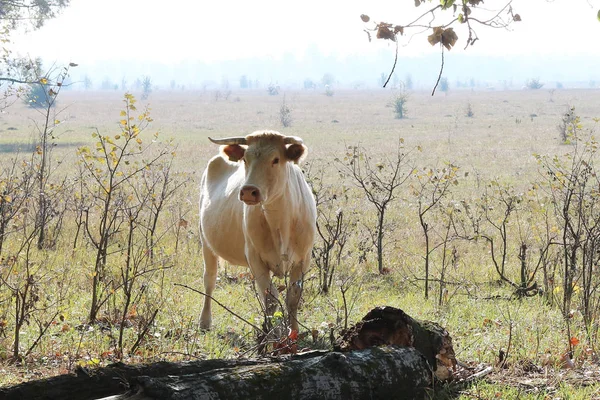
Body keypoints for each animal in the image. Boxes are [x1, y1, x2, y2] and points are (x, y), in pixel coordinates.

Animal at [198, 130, 318, 332]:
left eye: (276, 159)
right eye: (245, 159)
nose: (248, 191)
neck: (280, 222)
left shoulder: (303, 259)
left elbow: (293, 298)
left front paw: (293, 332)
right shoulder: (255, 258)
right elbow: (271, 299)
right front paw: (271, 333)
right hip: (206, 243)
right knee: (210, 279)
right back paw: (205, 321)